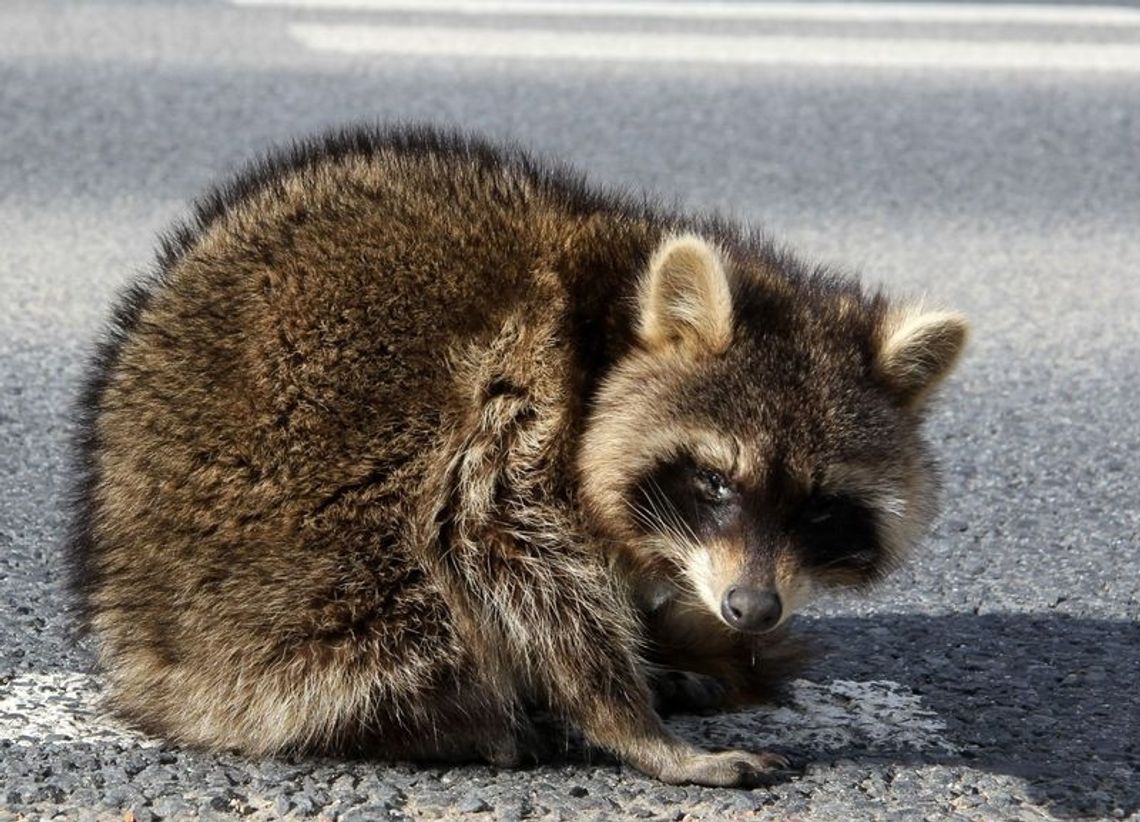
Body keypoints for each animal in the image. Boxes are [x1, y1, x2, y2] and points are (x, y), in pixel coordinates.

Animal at [68, 124, 962, 784]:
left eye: (820, 510)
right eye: (713, 482)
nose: (751, 609)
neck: (612, 317)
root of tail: (139, 652)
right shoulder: (519, 393)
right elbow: (510, 555)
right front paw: (630, 725)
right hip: (299, 571)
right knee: (407, 598)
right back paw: (461, 722)